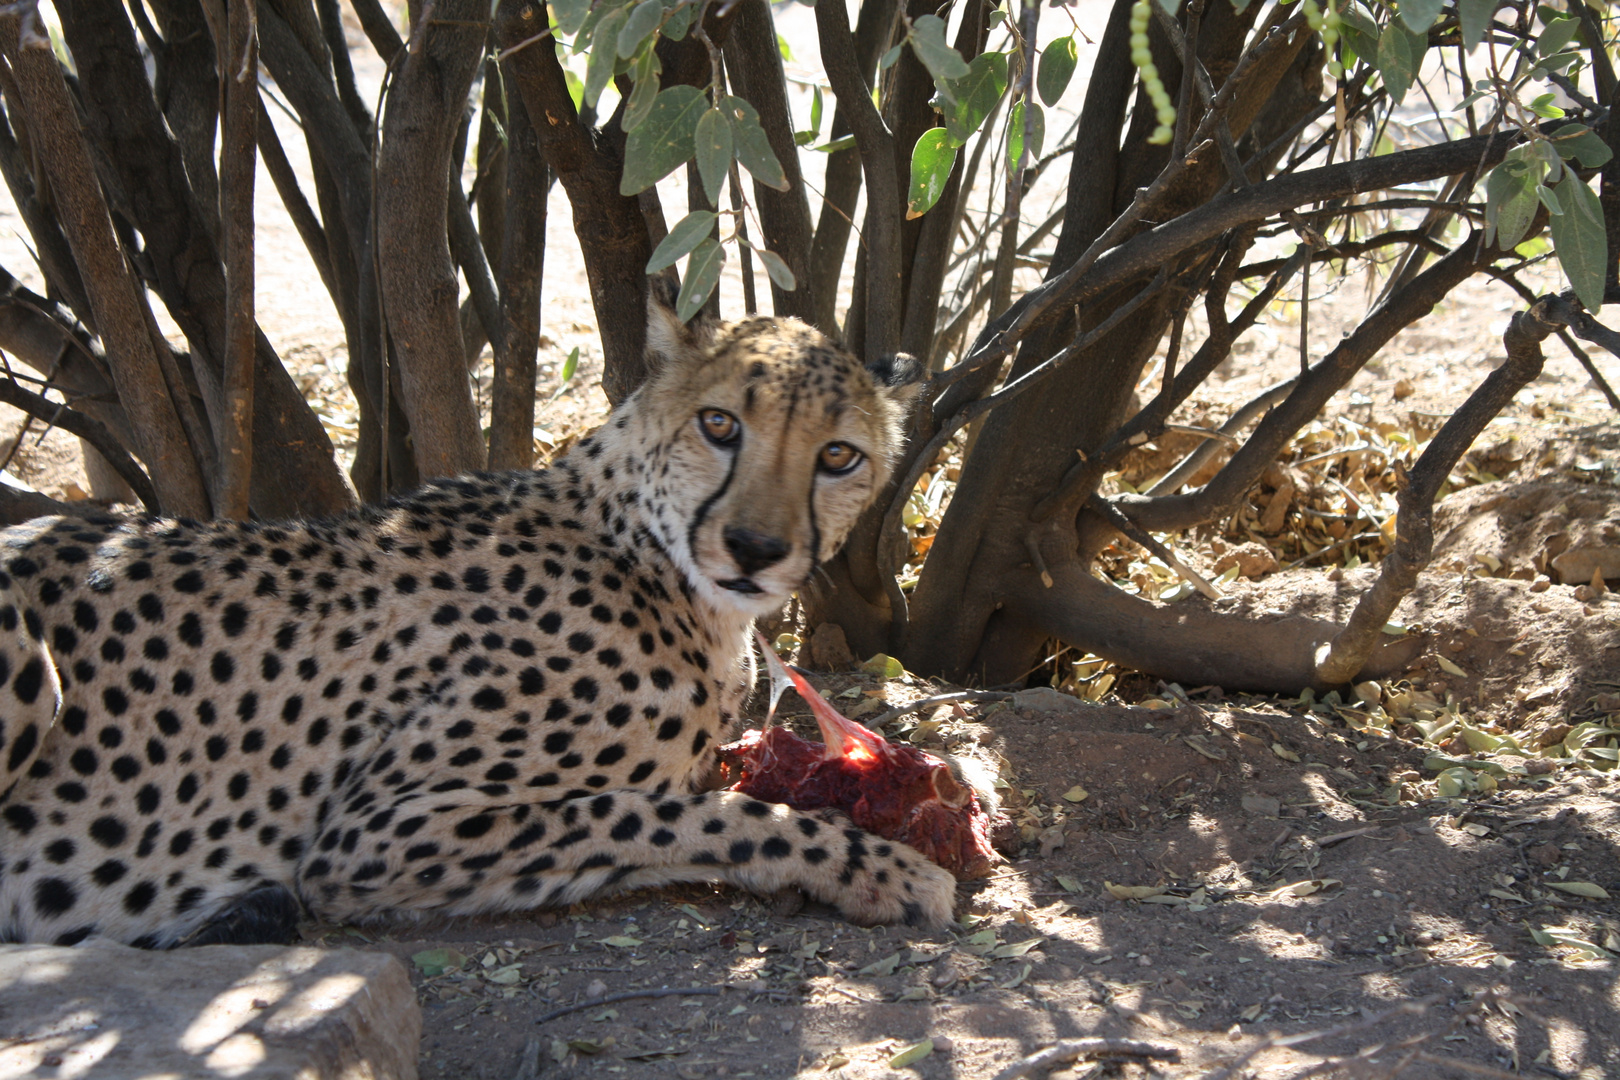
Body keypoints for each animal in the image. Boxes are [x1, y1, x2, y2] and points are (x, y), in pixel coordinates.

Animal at [0, 293, 946, 945]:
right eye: (719, 424)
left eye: (838, 456)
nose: (754, 546)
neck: (651, 551)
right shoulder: (375, 833)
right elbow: (687, 814)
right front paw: (884, 869)